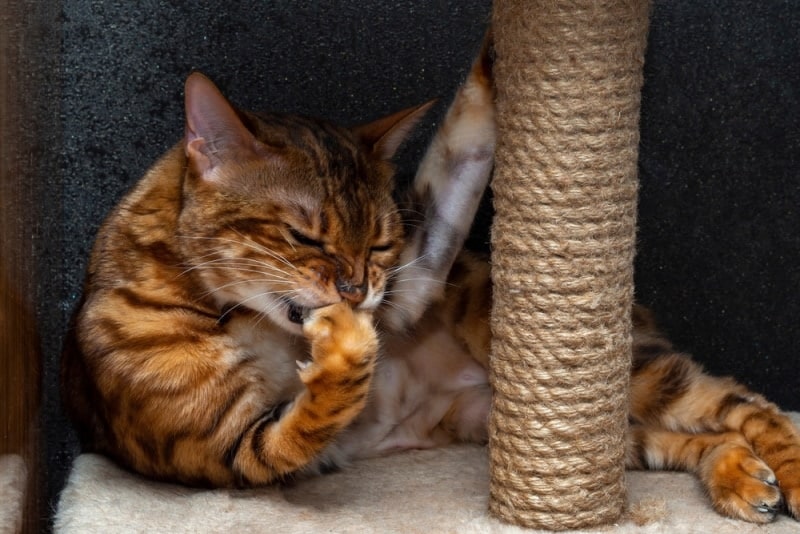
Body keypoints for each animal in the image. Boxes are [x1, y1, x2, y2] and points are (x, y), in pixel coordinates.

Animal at [59, 43, 796, 528]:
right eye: (306, 237)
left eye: (380, 243)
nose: (356, 292)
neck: (251, 321)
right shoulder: (235, 453)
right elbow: (312, 413)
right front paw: (344, 347)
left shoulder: (411, 281)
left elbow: (462, 143)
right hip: (507, 421)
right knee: (679, 437)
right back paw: (740, 476)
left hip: (609, 368)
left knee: (750, 408)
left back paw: (779, 473)